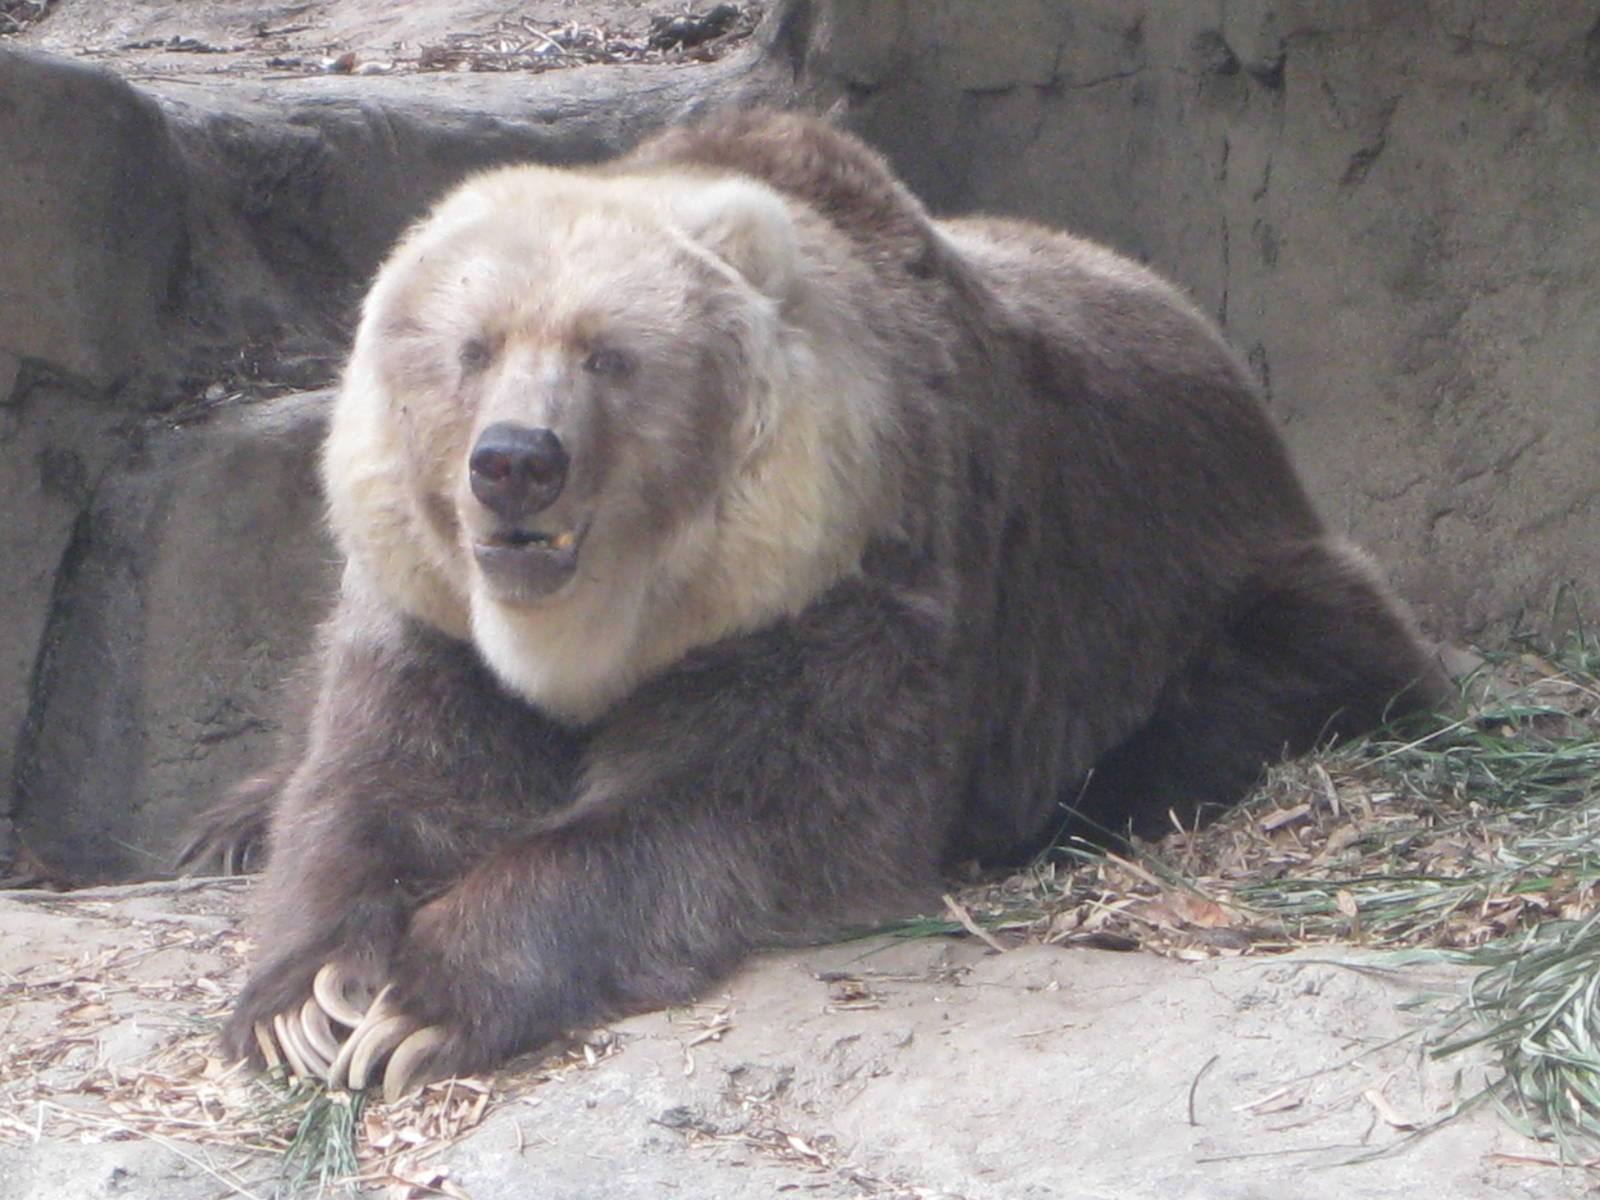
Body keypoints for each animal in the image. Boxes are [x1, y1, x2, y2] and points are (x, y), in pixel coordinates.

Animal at [184, 110, 1445, 1100]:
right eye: (472, 347)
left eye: (608, 356)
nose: (515, 463)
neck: (597, 631)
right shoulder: (435, 618)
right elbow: (380, 780)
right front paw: (310, 999)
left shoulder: (844, 595)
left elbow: (736, 812)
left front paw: (421, 995)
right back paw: (228, 818)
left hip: (1196, 562)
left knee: (1281, 657)